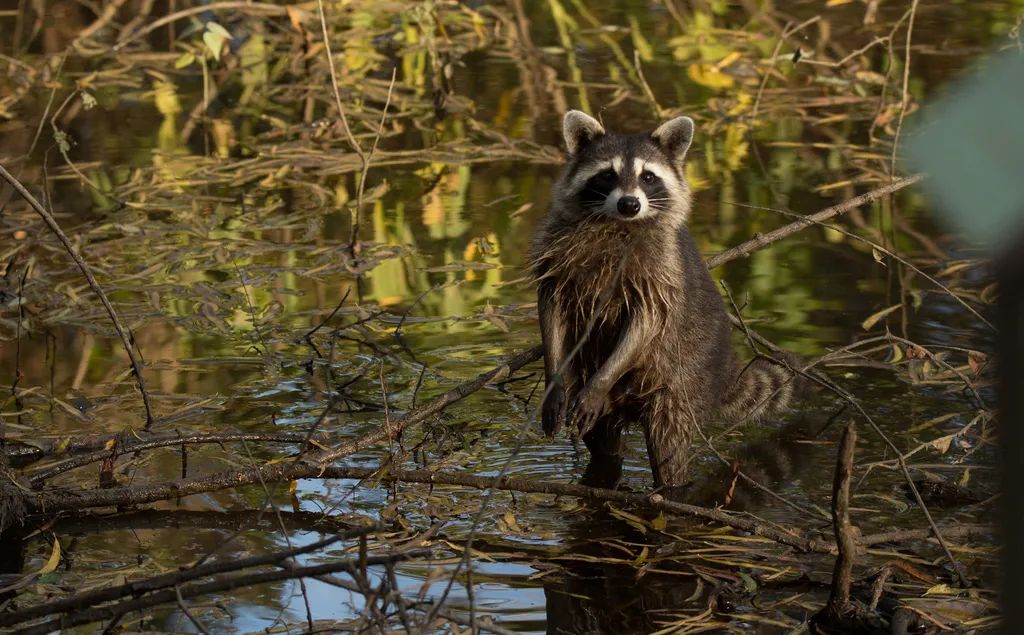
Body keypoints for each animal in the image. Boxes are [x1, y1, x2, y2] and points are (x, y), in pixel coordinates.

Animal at [532, 110, 802, 491]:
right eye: (607, 175)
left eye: (648, 177)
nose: (629, 204)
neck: (614, 222)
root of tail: (722, 372)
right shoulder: (555, 252)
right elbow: (551, 306)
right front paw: (554, 379)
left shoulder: (660, 269)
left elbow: (647, 320)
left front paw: (599, 380)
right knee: (604, 442)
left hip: (679, 383)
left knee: (668, 443)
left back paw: (670, 487)